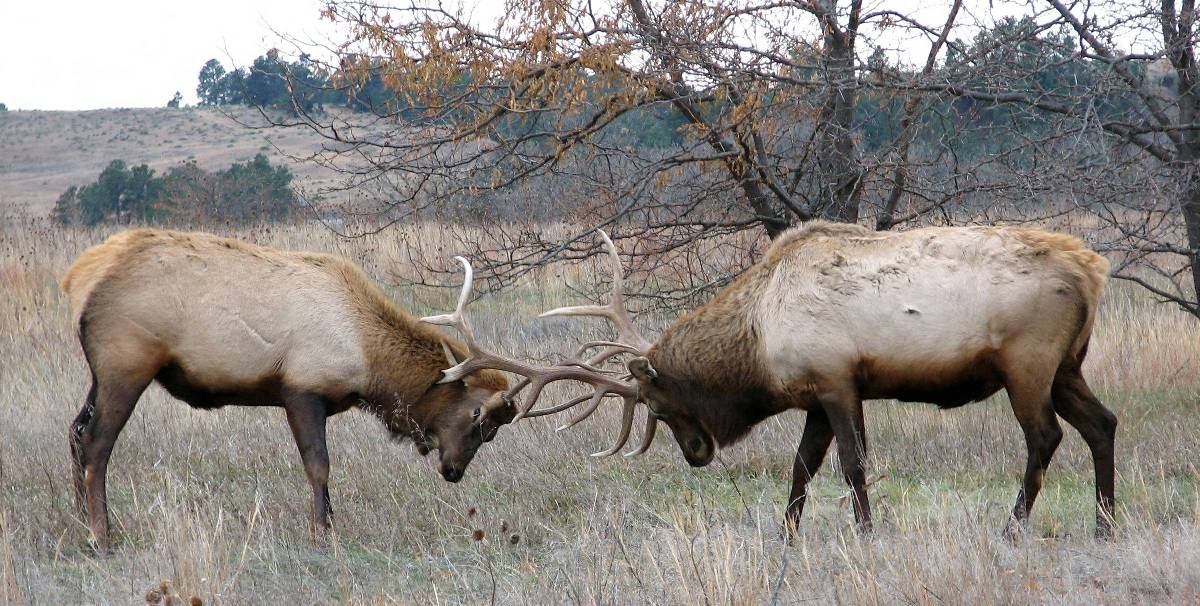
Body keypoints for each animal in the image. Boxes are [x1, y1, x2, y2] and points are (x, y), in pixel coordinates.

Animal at [61, 229, 516, 551]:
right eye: (478, 416)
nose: (454, 471)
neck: (366, 359)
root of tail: (76, 279)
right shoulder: (301, 389)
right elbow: (319, 466)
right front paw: (323, 534)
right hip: (126, 365)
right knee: (97, 443)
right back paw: (101, 536)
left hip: (101, 375)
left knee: (75, 432)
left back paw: (80, 524)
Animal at [421, 222, 1117, 539]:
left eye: (659, 405)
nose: (697, 455)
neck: (759, 344)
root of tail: (1092, 271)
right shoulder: (814, 397)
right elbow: (801, 467)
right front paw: (788, 534)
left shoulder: (838, 380)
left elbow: (854, 466)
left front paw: (866, 533)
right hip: (1067, 366)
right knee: (1102, 423)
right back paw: (1106, 523)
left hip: (1027, 362)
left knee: (1045, 437)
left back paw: (1013, 526)